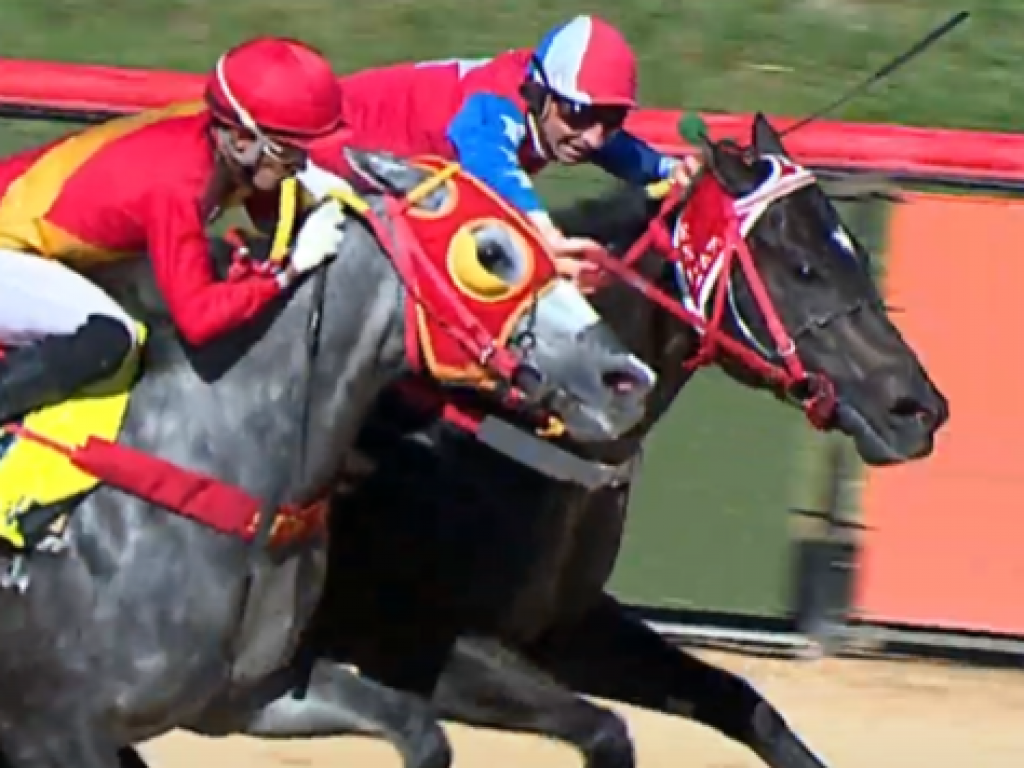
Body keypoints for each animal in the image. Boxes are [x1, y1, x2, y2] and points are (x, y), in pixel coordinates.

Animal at [299, 114, 950, 768]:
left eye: (858, 252)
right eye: (803, 267)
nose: (919, 410)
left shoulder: (569, 626)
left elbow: (742, 701)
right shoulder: (422, 645)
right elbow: (602, 727)